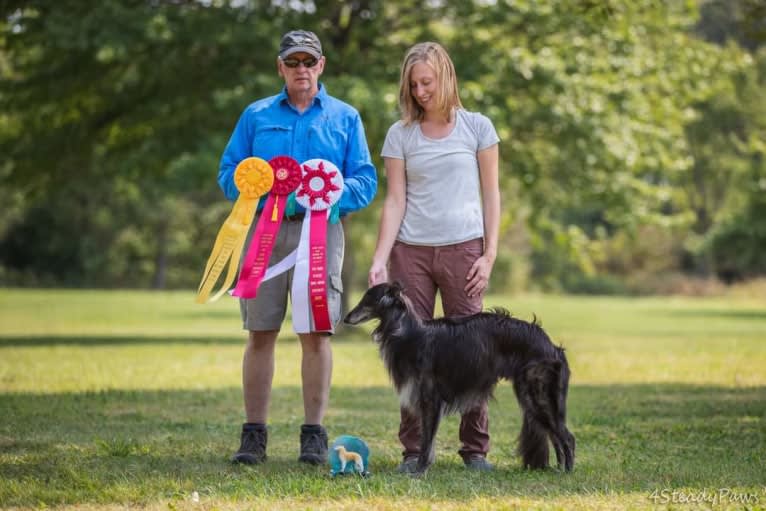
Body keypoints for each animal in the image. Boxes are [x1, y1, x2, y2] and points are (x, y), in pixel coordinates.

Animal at [344, 284, 576, 476]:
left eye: (367, 299)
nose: (346, 318)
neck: (408, 332)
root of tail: (553, 347)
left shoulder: (430, 400)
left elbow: (427, 443)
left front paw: (419, 471)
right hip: (532, 399)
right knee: (555, 436)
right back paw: (559, 469)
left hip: (537, 396)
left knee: (567, 438)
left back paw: (566, 473)